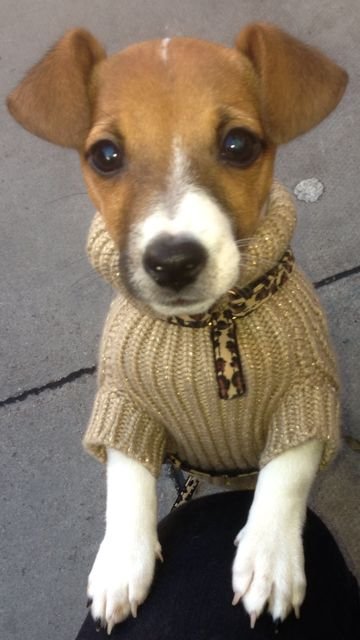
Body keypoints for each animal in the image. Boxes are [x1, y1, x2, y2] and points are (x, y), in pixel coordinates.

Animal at [7, 22, 348, 632]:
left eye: (239, 145)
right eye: (105, 155)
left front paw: (269, 556)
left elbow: (286, 470)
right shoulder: (123, 399)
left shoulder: (310, 393)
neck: (205, 323)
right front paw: (123, 560)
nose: (172, 262)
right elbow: (125, 476)